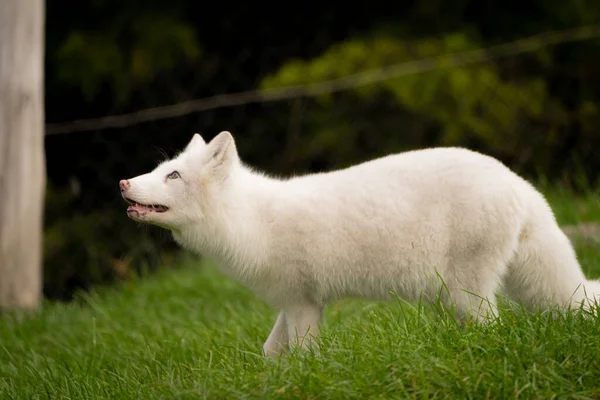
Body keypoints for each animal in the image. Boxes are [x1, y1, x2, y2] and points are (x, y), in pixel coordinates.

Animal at [119, 131, 596, 356]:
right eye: (160, 168)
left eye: (173, 175)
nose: (123, 183)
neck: (252, 220)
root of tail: (520, 184)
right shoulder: (292, 303)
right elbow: (271, 351)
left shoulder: (304, 305)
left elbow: (305, 354)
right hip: (455, 296)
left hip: (466, 293)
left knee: (494, 328)